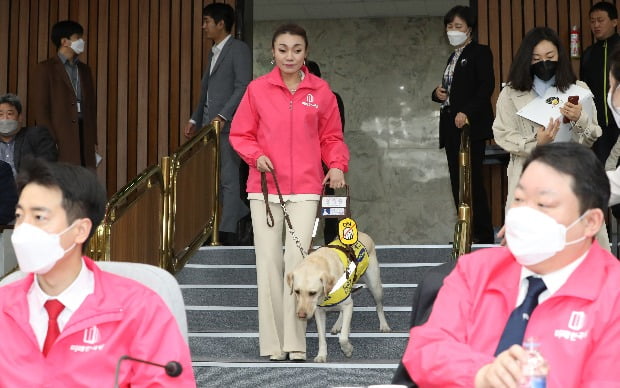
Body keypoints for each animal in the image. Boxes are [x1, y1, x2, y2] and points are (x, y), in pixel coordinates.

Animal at [284, 233, 388, 364]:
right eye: (297, 291)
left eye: (312, 293)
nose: (301, 315)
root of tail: (363, 233)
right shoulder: (319, 312)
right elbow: (322, 338)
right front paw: (322, 355)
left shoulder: (348, 305)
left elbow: (343, 338)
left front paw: (347, 349)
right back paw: (338, 325)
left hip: (375, 286)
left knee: (379, 306)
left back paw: (384, 325)